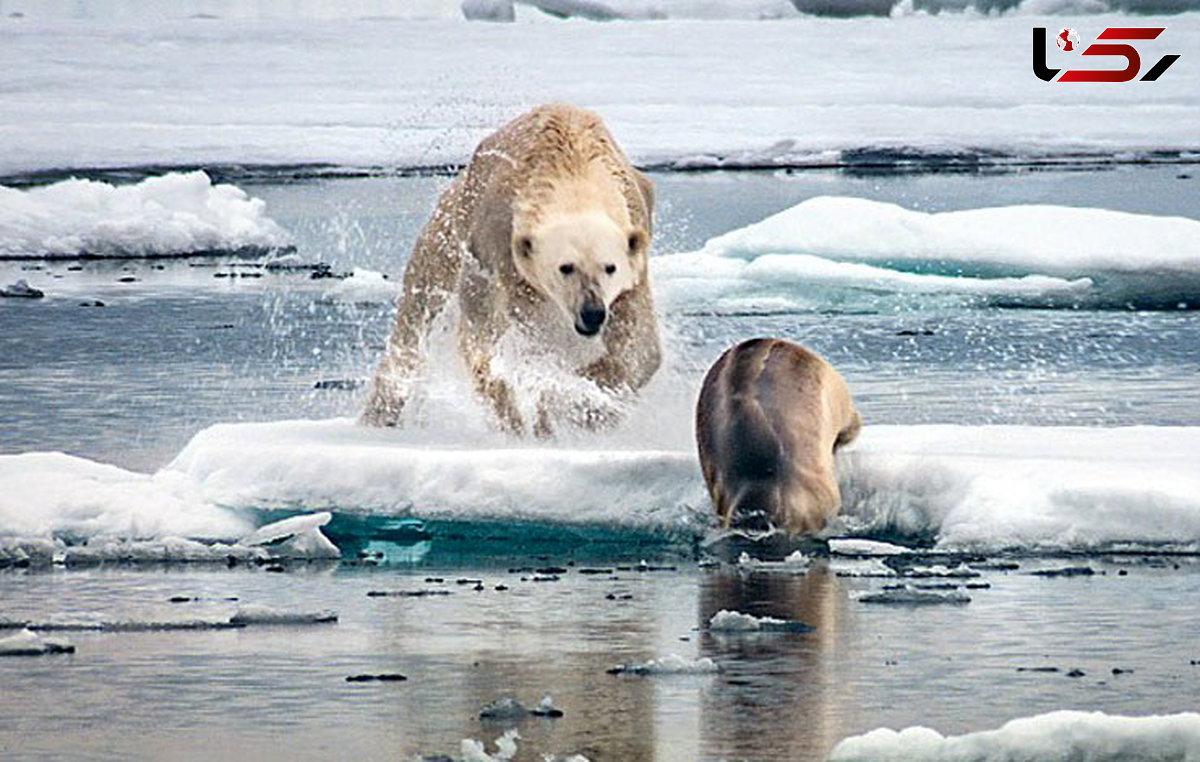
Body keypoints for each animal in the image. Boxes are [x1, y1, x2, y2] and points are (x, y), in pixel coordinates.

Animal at [360, 104, 662, 434]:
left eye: (610, 267)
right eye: (565, 267)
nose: (592, 313)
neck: (572, 169)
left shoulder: (633, 252)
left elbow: (641, 349)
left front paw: (589, 407)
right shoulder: (500, 252)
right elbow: (493, 342)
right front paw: (542, 410)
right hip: (448, 226)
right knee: (420, 305)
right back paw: (381, 409)